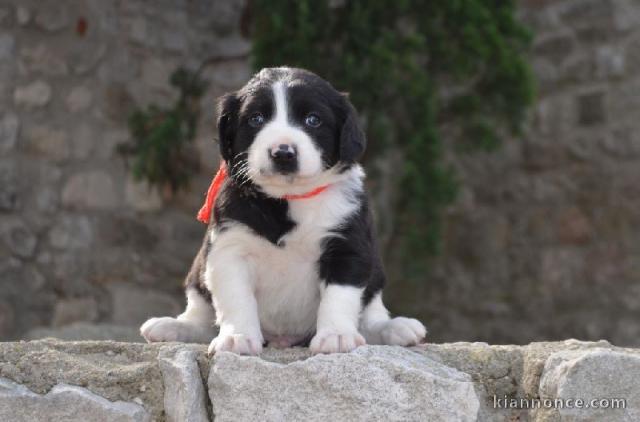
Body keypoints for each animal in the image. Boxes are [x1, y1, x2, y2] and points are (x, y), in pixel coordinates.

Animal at [142, 66, 428, 354]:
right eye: (256, 119)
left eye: (313, 120)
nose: (282, 152)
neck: (287, 199)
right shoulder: (230, 248)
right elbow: (236, 297)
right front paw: (237, 337)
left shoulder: (347, 246)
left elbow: (339, 296)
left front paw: (336, 335)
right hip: (198, 270)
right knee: (200, 312)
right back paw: (173, 326)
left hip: (376, 274)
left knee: (371, 313)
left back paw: (395, 328)